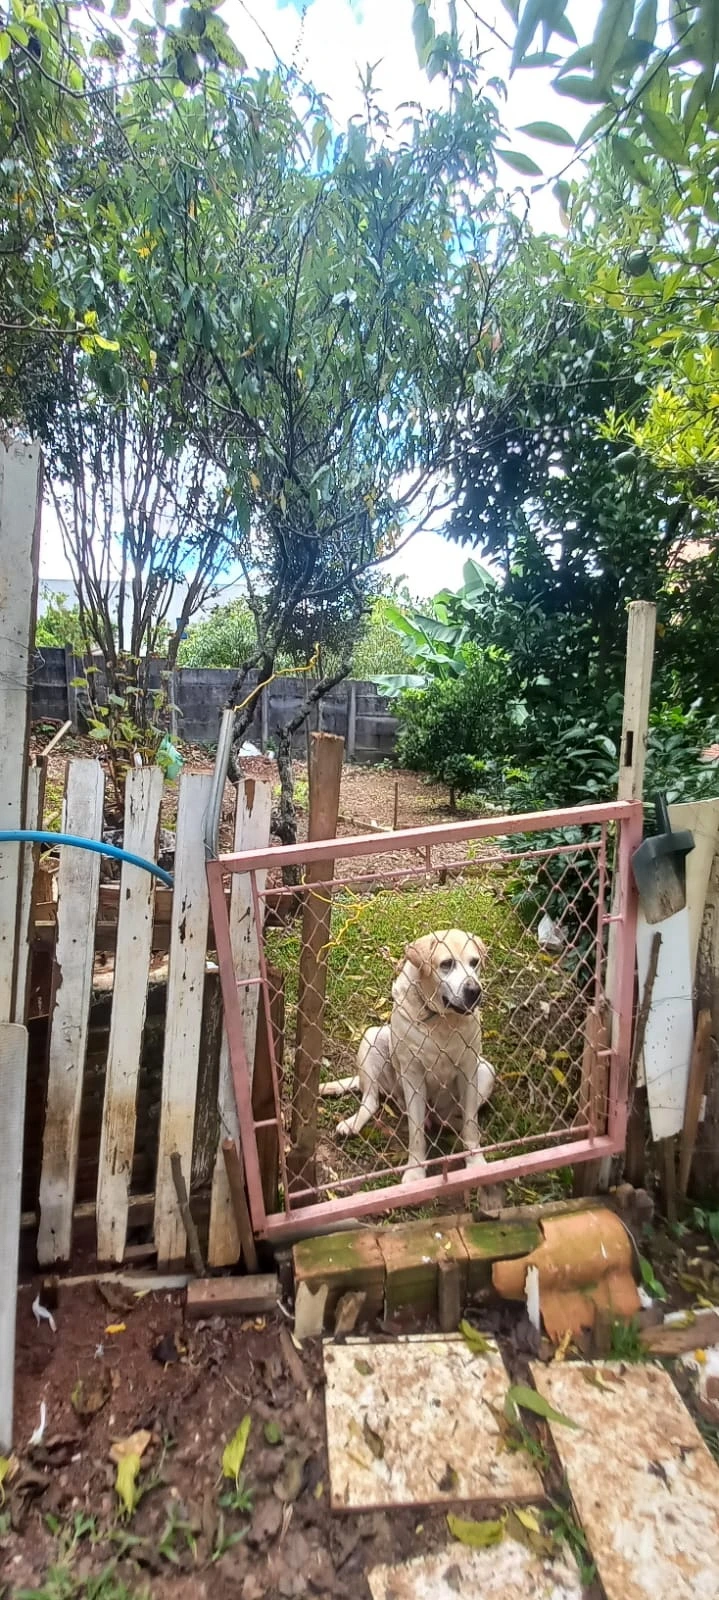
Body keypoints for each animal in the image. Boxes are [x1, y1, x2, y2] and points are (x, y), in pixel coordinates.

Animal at [322, 929, 496, 1186]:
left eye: (474, 963)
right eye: (446, 964)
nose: (474, 991)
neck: (441, 1020)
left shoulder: (469, 1066)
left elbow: (470, 1125)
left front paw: (476, 1163)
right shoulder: (413, 1074)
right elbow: (416, 1134)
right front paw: (415, 1172)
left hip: (486, 1071)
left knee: (454, 1119)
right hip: (374, 1038)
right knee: (372, 1101)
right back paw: (353, 1124)